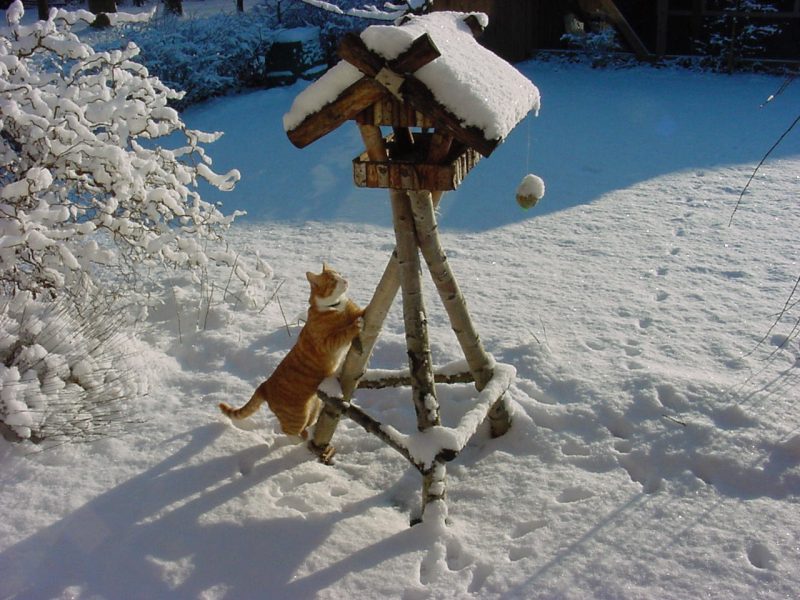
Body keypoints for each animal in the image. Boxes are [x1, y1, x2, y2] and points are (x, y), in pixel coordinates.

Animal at [222, 268, 366, 440]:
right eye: (333, 280)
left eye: (340, 274)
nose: (345, 281)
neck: (335, 306)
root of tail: (265, 385)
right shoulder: (327, 342)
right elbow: (344, 333)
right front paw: (355, 326)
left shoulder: (352, 310)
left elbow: (359, 311)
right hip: (297, 417)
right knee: (290, 431)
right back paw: (304, 438)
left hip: (314, 406)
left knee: (307, 424)